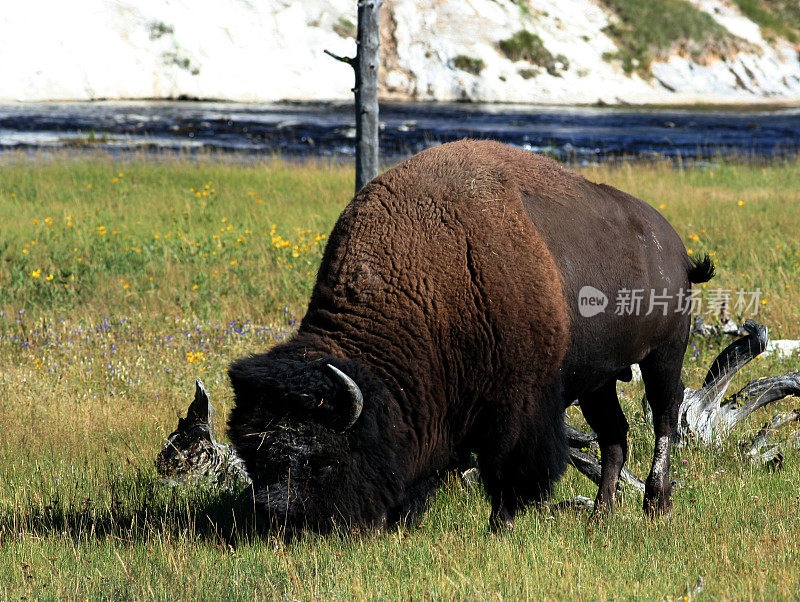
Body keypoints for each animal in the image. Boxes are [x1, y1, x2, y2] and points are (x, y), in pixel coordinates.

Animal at [227, 139, 712, 528]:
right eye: (252, 455)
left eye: (321, 460)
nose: (279, 518)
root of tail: (673, 245)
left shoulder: (520, 404)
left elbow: (508, 468)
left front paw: (501, 525)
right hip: (600, 379)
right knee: (615, 436)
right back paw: (601, 513)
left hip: (663, 354)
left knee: (665, 417)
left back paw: (655, 504)